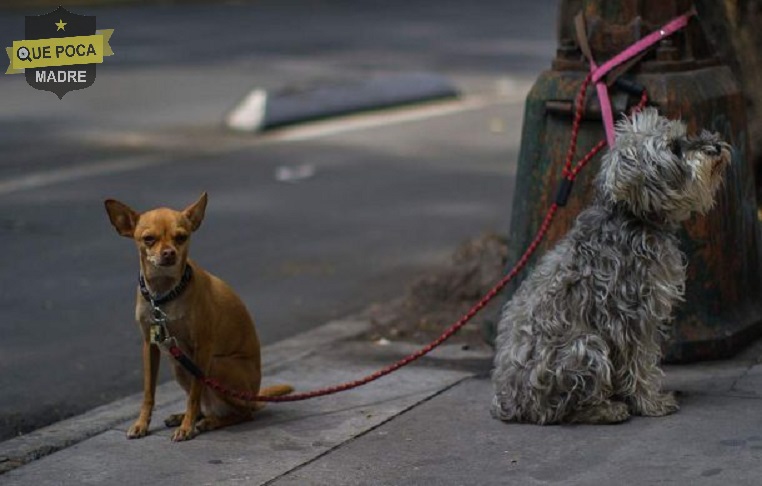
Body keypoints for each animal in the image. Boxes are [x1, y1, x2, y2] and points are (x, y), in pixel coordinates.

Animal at [108, 193, 292, 440]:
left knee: (242, 413)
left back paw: (208, 422)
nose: (169, 253)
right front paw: (142, 424)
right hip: (179, 366)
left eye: (181, 237)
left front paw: (187, 428)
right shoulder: (150, 345)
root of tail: (254, 396)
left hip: (214, 365)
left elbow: (194, 394)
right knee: (209, 404)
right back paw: (189, 417)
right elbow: (149, 392)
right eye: (148, 239)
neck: (164, 295)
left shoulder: (202, 348)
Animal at [490, 108, 728, 424]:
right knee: (566, 409)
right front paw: (650, 403)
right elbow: (641, 365)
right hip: (586, 345)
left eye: (683, 136)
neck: (633, 219)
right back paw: (606, 408)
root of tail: (511, 403)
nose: (716, 145)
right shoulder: (633, 318)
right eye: (674, 147)